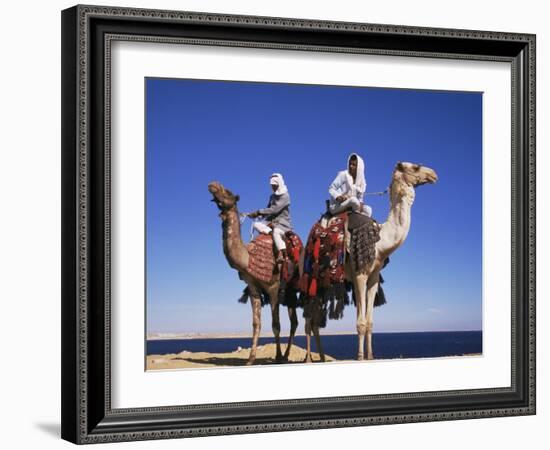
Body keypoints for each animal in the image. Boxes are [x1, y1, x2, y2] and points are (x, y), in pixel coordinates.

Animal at [208, 182, 302, 366]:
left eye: (227, 192)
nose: (213, 184)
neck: (248, 257)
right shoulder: (253, 287)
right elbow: (256, 323)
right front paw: (250, 359)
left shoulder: (273, 288)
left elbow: (276, 325)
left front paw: (277, 357)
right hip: (288, 293)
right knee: (294, 322)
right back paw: (286, 355)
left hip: (293, 288)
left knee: (296, 321)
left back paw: (287, 356)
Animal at [304, 162, 438, 362]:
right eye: (415, 167)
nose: (434, 174)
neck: (380, 241)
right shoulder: (360, 275)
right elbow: (361, 322)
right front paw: (360, 356)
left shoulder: (373, 277)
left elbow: (369, 321)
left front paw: (370, 356)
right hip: (308, 277)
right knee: (308, 320)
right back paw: (307, 359)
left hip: (322, 283)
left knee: (314, 321)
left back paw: (320, 357)